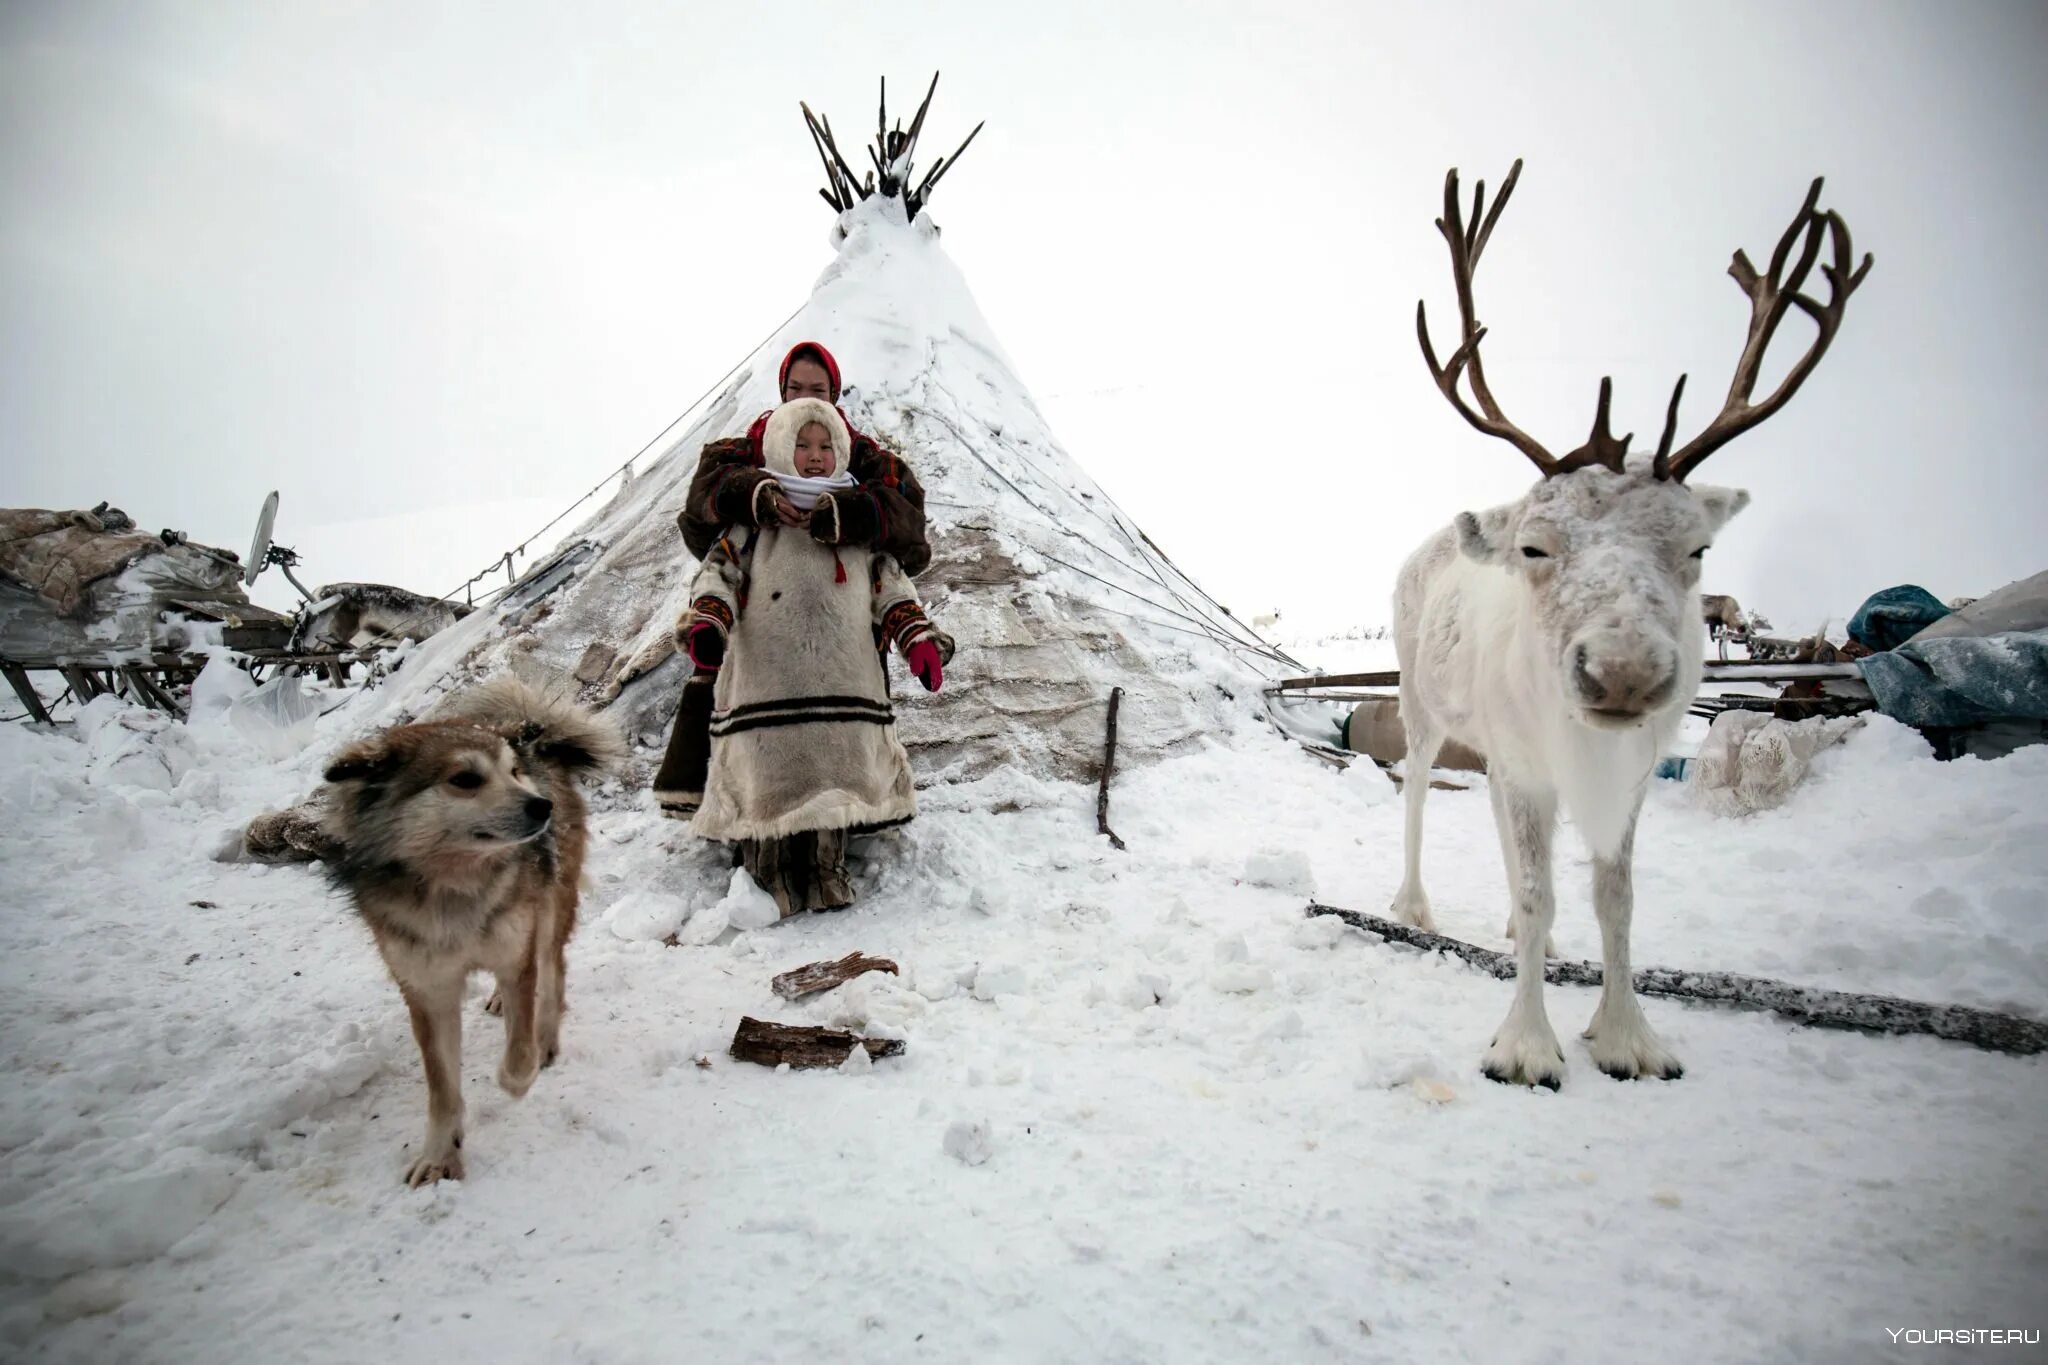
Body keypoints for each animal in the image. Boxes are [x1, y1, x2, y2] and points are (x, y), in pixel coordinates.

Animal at [319, 683, 618, 1186]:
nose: (541, 805)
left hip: (551, 909)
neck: (454, 888)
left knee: (553, 972)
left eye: (512, 773)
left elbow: (519, 1048)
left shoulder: (516, 956)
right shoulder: (427, 988)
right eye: (464, 779)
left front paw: (520, 1075)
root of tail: (540, 743)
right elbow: (441, 1088)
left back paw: (546, 1038)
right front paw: (440, 1156)